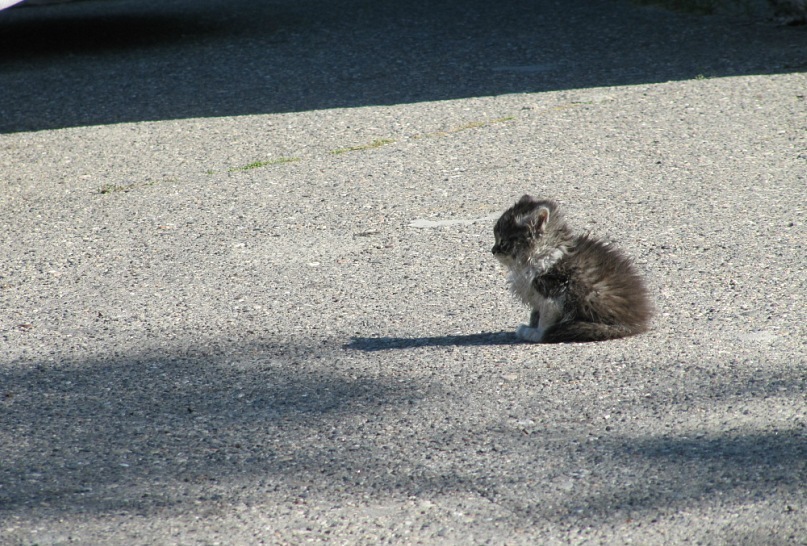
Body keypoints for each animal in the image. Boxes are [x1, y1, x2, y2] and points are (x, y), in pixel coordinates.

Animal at [492, 194, 656, 340]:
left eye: (503, 242)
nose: (492, 250)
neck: (544, 252)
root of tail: (637, 322)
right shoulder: (536, 295)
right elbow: (535, 314)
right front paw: (531, 326)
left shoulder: (554, 292)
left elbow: (545, 319)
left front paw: (536, 334)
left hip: (590, 295)